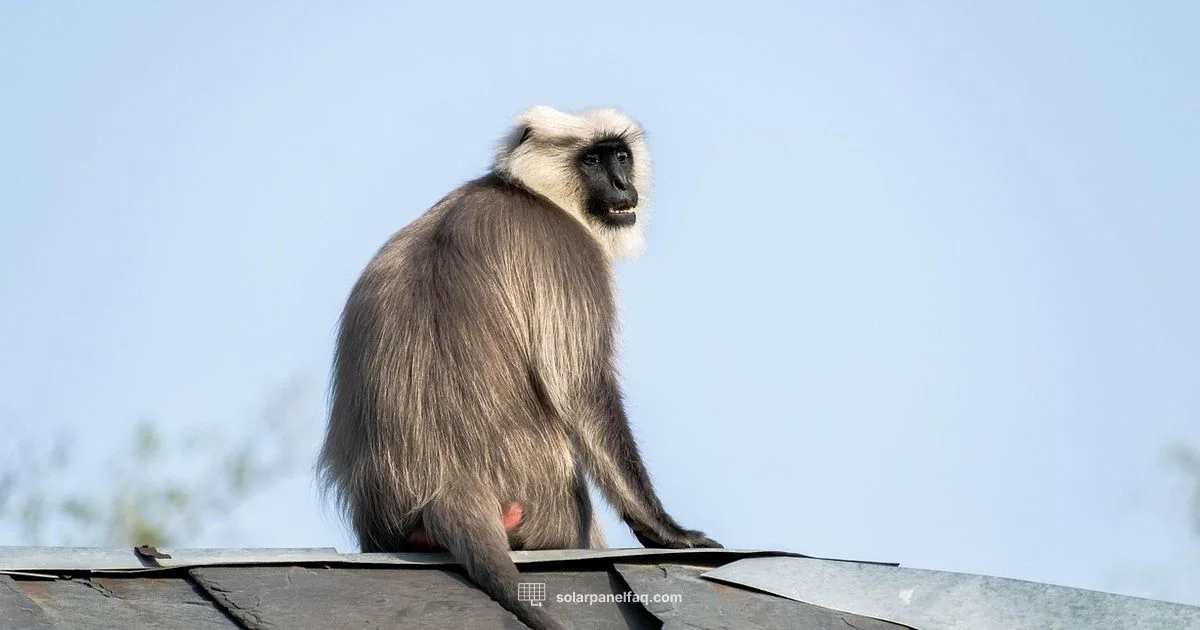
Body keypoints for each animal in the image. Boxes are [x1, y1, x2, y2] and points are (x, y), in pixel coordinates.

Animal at [317, 106, 720, 630]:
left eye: (621, 156)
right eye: (593, 159)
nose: (620, 183)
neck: (527, 190)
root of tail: (448, 489)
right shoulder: (569, 253)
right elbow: (582, 390)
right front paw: (669, 533)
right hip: (547, 503)